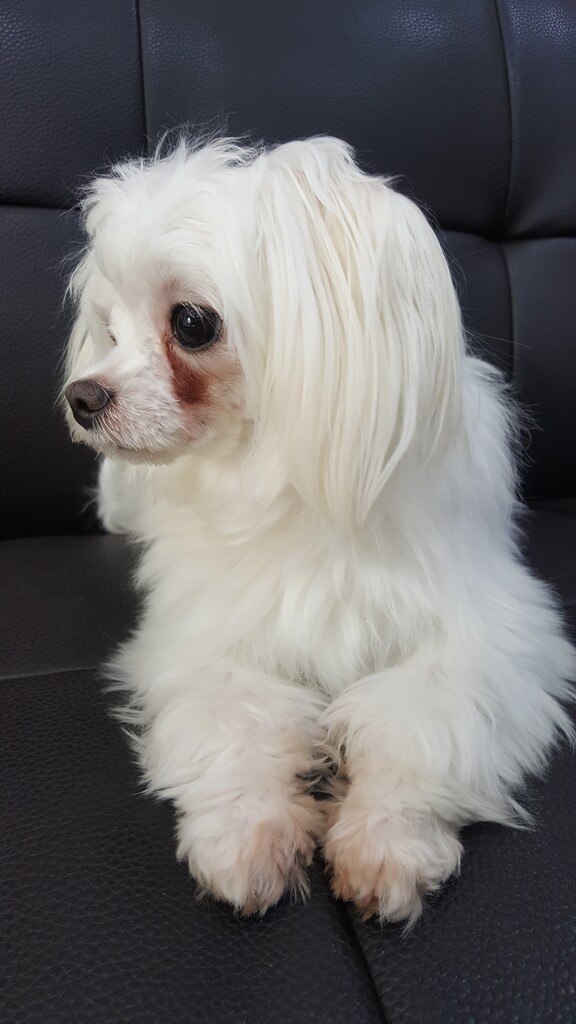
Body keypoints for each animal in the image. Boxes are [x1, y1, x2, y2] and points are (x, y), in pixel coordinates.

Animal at [63, 136, 575, 925]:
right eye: (108, 330)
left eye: (192, 323)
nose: (80, 396)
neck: (277, 483)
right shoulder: (208, 643)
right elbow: (237, 722)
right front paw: (245, 836)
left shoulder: (489, 640)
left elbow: (415, 725)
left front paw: (386, 841)